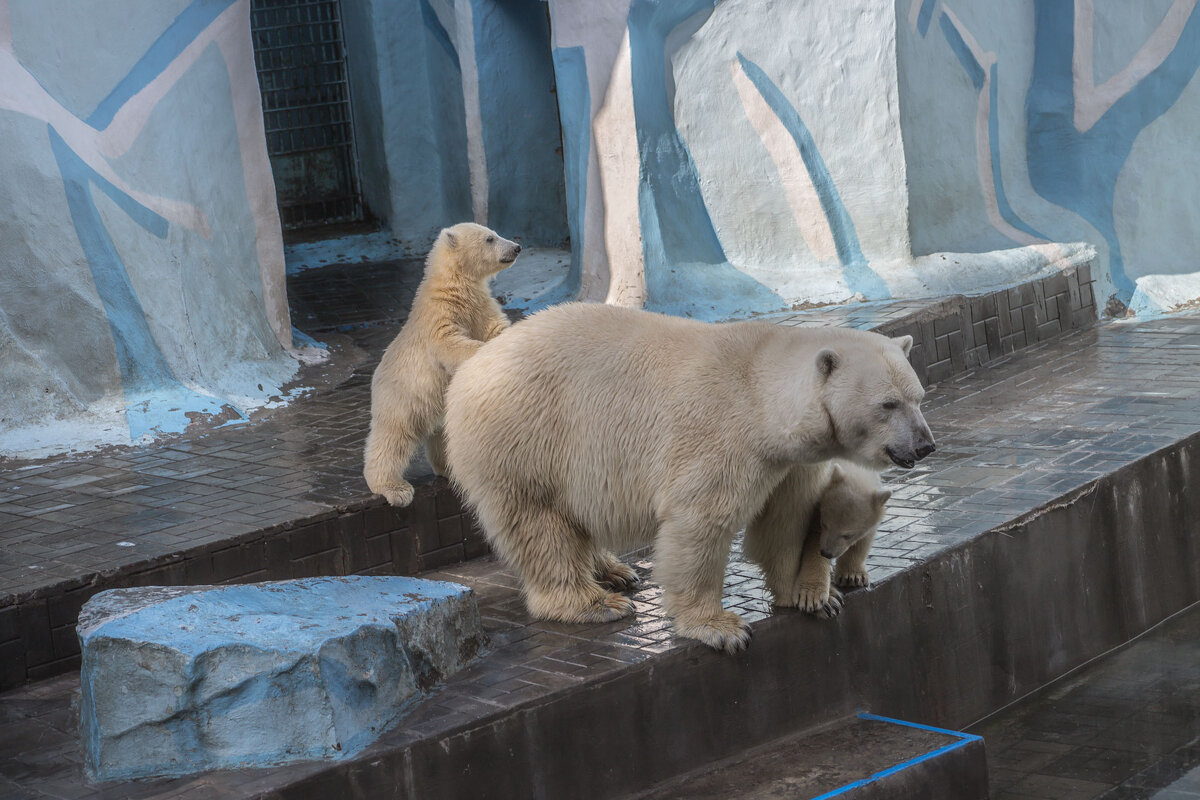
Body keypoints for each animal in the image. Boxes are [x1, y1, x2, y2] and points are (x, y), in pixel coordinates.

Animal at [446, 303, 931, 652]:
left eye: (919, 397)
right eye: (887, 404)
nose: (925, 444)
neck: (760, 394)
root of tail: (474, 363)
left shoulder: (790, 462)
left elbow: (786, 520)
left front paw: (813, 596)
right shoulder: (720, 439)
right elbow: (702, 522)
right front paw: (721, 628)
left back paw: (615, 570)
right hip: (529, 434)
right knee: (538, 520)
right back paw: (593, 602)